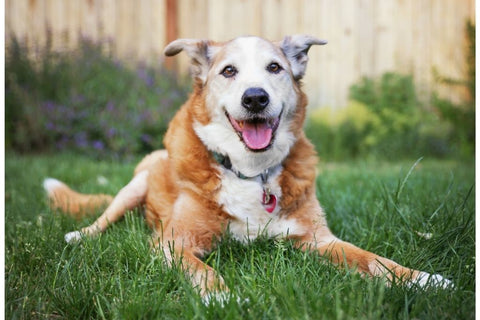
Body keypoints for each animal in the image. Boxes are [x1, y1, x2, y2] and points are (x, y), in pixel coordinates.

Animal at [43, 35, 452, 302]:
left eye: (274, 68)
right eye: (228, 71)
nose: (255, 98)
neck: (253, 172)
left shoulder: (318, 240)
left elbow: (373, 260)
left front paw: (423, 279)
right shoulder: (173, 244)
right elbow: (201, 269)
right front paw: (220, 297)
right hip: (135, 186)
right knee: (104, 217)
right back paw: (79, 235)